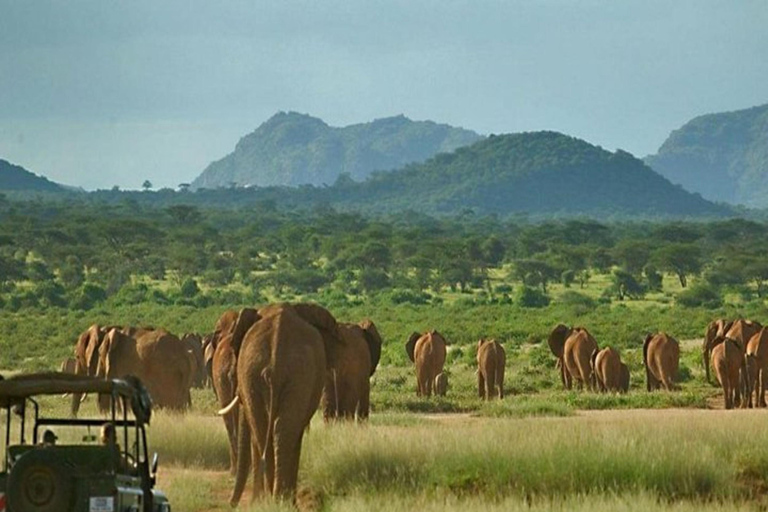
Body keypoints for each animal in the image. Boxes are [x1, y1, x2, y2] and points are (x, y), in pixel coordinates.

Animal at [219, 302, 344, 502]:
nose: (231, 504)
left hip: (276, 374)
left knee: (270, 431)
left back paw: (276, 499)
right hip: (269, 373)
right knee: (276, 430)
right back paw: (277, 499)